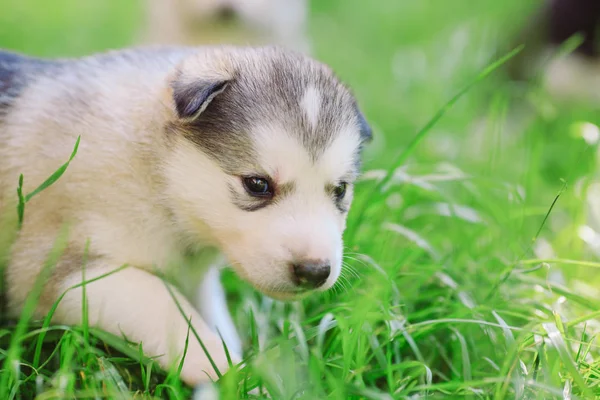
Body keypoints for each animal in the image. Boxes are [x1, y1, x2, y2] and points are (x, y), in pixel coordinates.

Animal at [0, 46, 370, 384]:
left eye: (340, 190)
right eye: (257, 184)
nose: (314, 271)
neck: (156, 170)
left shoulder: (197, 277)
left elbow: (212, 314)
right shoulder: (54, 266)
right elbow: (163, 307)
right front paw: (230, 374)